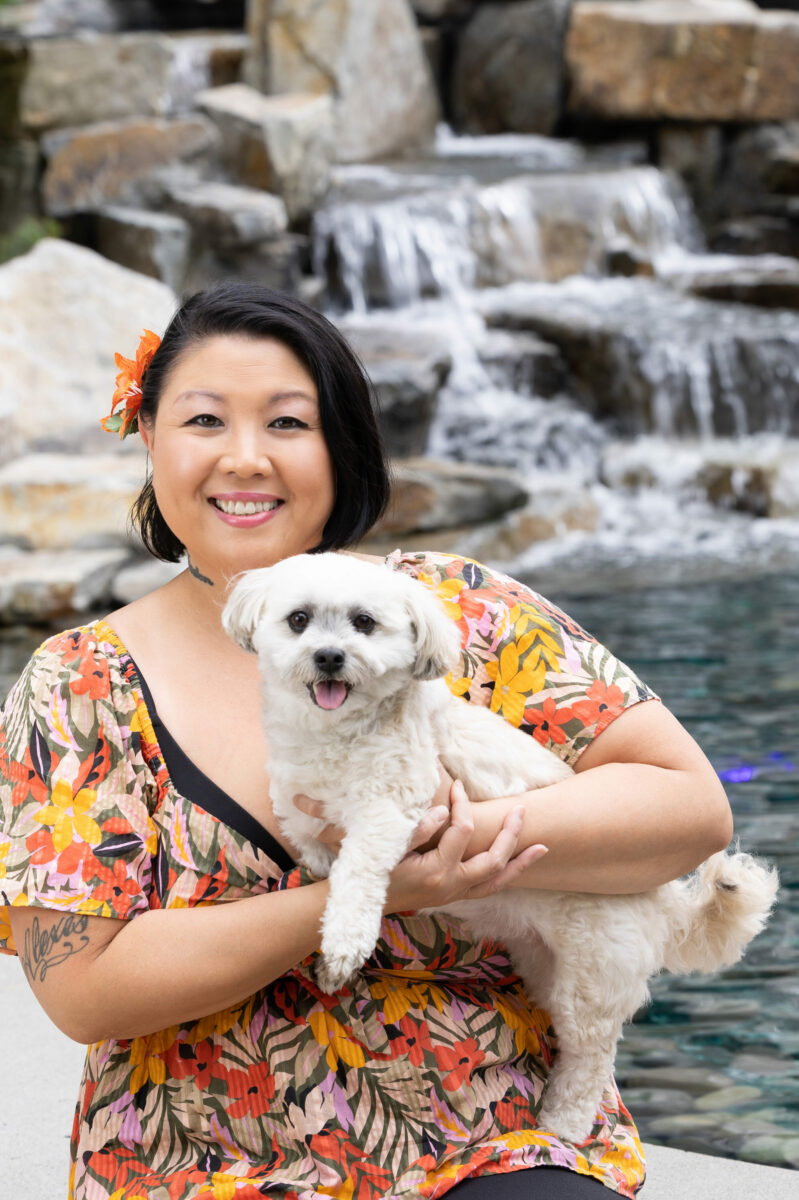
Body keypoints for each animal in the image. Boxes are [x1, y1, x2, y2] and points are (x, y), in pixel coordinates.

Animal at [220, 552, 772, 1142]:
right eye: (298, 620)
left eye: (364, 622)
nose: (328, 656)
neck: (336, 735)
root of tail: (663, 897)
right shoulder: (305, 820)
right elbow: (319, 864)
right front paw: (324, 956)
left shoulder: (393, 807)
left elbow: (357, 878)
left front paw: (346, 943)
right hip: (547, 966)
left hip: (594, 974)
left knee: (591, 1058)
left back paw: (563, 1124)